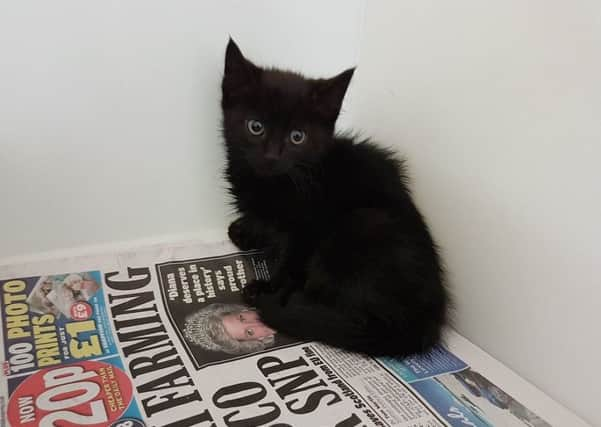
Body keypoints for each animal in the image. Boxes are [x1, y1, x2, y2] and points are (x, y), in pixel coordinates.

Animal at [219, 39, 446, 358]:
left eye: (297, 137)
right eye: (255, 126)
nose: (272, 157)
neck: (274, 183)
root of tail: (424, 323)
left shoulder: (306, 230)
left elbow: (290, 260)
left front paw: (269, 288)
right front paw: (245, 231)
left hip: (361, 224)